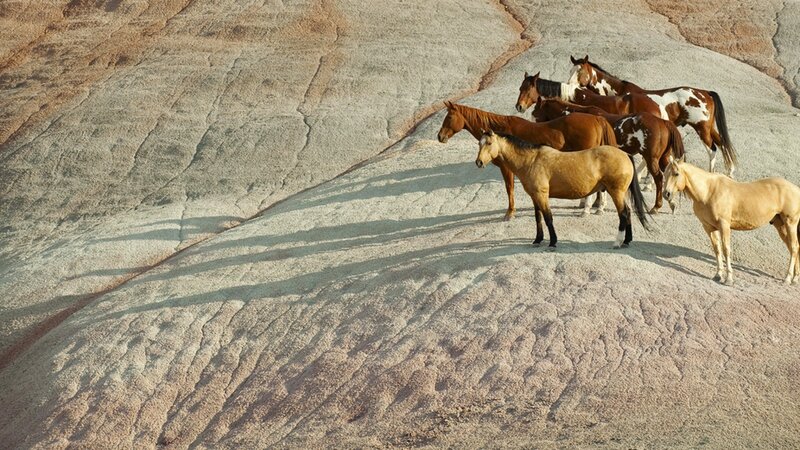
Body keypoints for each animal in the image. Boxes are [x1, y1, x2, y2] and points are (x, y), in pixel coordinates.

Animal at [437, 101, 617, 219]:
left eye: (449, 117)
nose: (440, 136)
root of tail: (596, 119)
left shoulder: (506, 168)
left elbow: (509, 188)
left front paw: (510, 213)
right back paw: (598, 207)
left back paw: (587, 209)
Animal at [476, 130, 651, 249]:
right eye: (479, 143)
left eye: (489, 143)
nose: (478, 162)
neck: (531, 160)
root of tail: (625, 154)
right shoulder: (534, 196)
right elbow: (538, 218)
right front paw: (537, 240)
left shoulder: (542, 196)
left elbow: (548, 218)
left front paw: (553, 242)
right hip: (620, 193)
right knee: (628, 212)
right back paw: (627, 240)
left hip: (616, 192)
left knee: (623, 214)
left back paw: (617, 242)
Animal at [531, 97, 686, 213]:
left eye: (535, 115)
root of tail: (663, 122)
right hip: (663, 159)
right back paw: (670, 201)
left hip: (651, 158)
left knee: (659, 178)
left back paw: (656, 206)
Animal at [569, 55, 737, 176]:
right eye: (571, 70)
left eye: (580, 71)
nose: (569, 85)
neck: (619, 94)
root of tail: (706, 92)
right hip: (709, 128)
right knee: (722, 143)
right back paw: (730, 170)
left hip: (701, 128)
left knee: (712, 149)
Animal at [663, 156, 800, 285]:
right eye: (664, 173)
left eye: (676, 173)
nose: (666, 194)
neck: (709, 191)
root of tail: (796, 189)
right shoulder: (709, 227)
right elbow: (717, 249)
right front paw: (718, 275)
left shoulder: (724, 225)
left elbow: (726, 249)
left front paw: (729, 278)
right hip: (780, 226)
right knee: (794, 247)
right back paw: (795, 278)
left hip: (790, 224)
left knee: (794, 247)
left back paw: (788, 278)